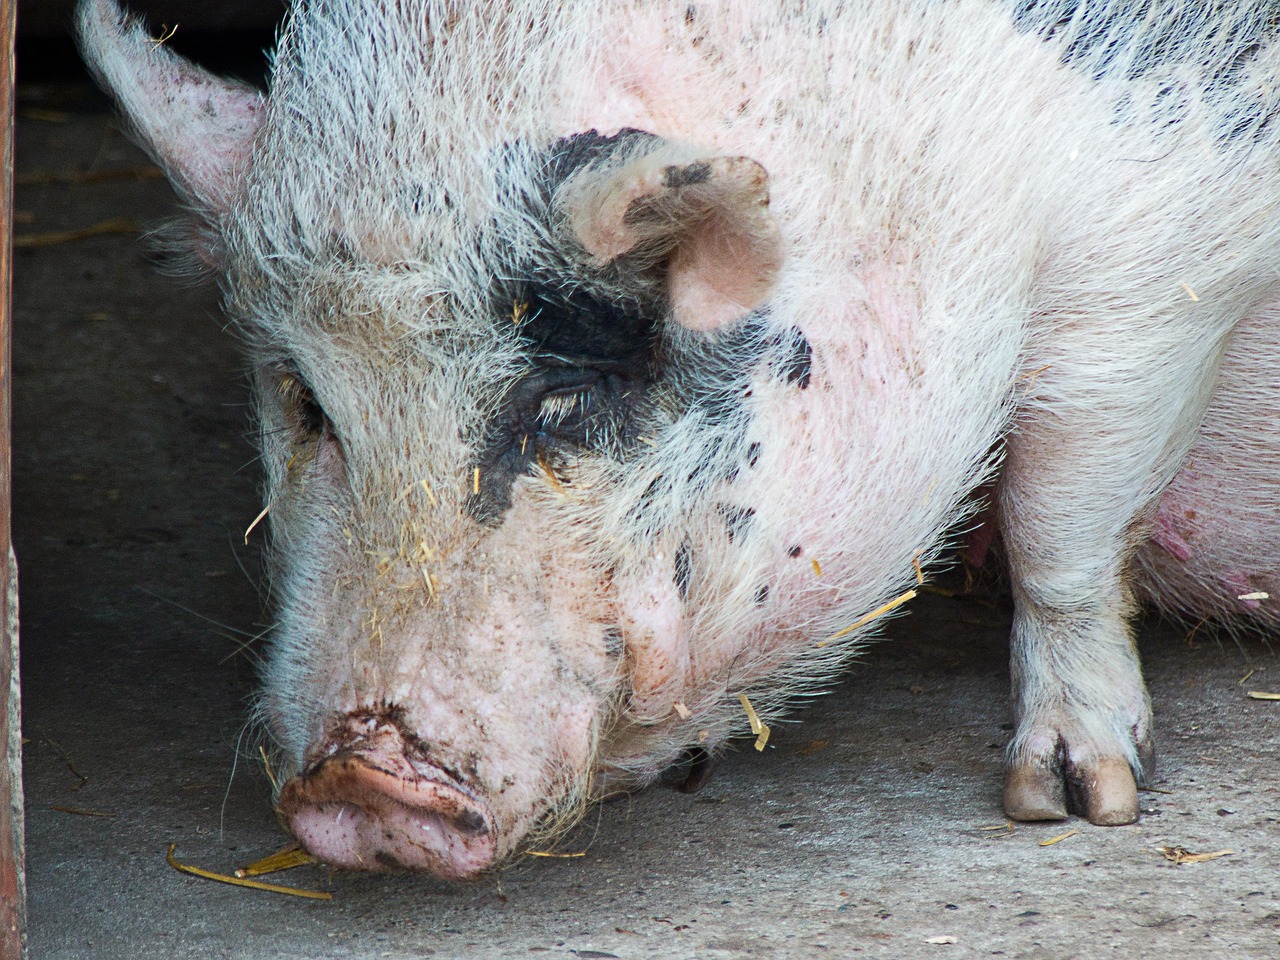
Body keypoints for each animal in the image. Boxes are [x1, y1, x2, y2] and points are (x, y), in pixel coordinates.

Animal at [78, 0, 1280, 877]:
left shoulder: (1160, 264)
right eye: (314, 405)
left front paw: (1074, 802)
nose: (358, 783)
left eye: (562, 400)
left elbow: (1061, 527)